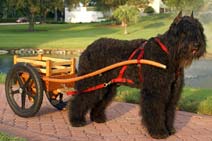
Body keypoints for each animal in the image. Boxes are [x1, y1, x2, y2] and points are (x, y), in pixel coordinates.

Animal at [68, 11, 205, 139]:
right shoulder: (155, 92)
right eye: (184, 31)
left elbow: (169, 111)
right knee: (79, 99)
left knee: (99, 101)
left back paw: (97, 118)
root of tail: (88, 48)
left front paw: (169, 129)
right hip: (91, 82)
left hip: (107, 87)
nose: (197, 44)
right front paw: (159, 132)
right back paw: (76, 120)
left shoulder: (172, 93)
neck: (168, 53)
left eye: (199, 29)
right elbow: (155, 111)